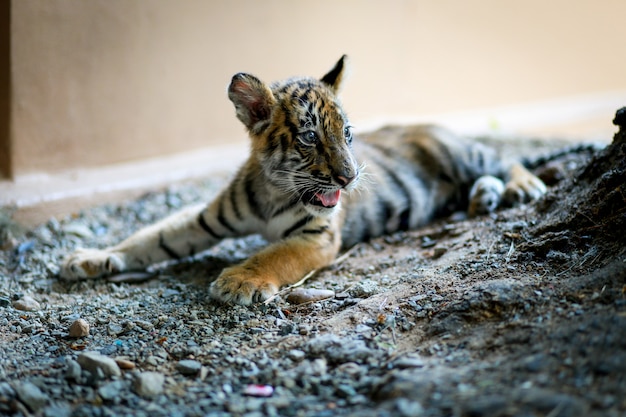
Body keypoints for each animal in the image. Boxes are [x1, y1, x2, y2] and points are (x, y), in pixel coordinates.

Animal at [59, 54, 544, 302]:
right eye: (310, 137)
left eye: (347, 134)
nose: (348, 179)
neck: (275, 191)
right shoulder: (203, 218)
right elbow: (149, 237)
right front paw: (91, 258)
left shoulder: (316, 236)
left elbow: (273, 255)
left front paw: (239, 281)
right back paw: (484, 199)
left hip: (459, 152)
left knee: (503, 158)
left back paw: (522, 187)